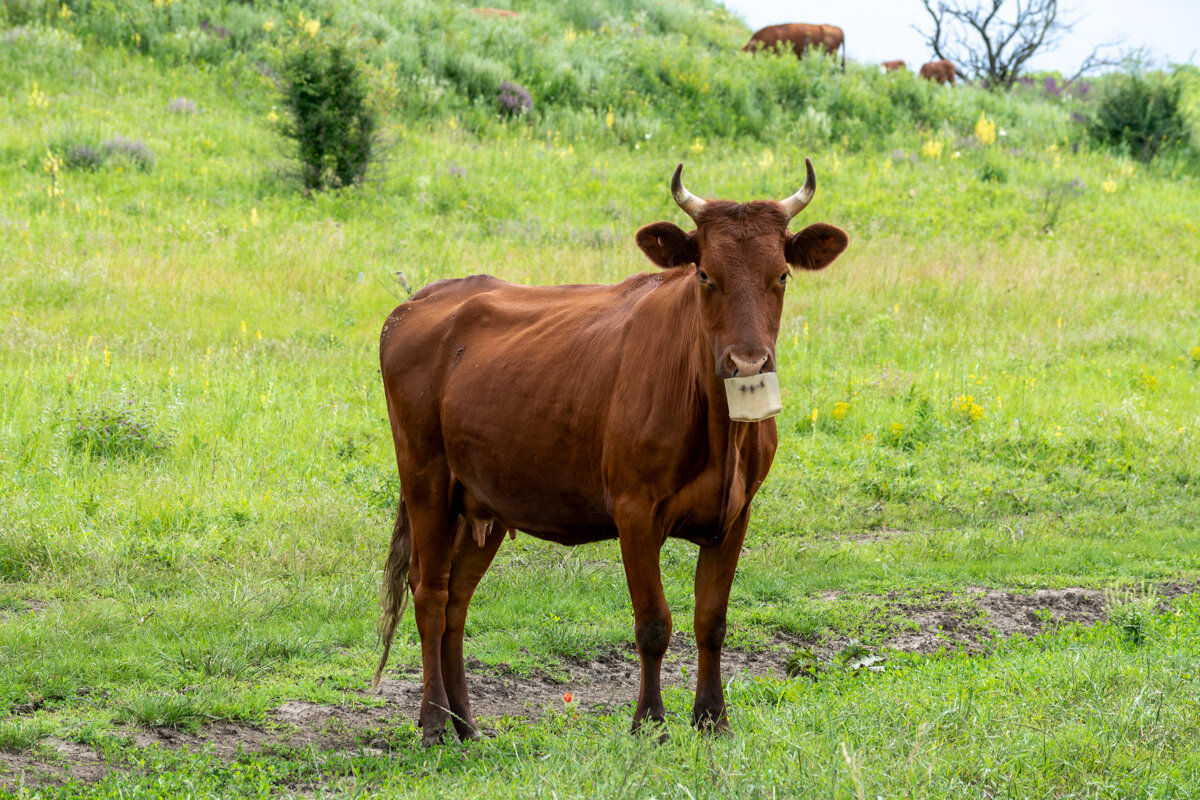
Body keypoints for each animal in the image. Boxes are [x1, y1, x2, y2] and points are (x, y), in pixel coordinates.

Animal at [369, 160, 849, 743]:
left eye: (781, 275)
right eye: (704, 275)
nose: (748, 363)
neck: (719, 432)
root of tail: (417, 301)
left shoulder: (737, 512)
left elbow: (711, 621)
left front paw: (713, 719)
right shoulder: (634, 510)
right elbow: (654, 623)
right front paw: (651, 723)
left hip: (483, 497)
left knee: (457, 598)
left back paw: (466, 723)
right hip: (426, 477)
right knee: (431, 595)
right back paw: (437, 722)